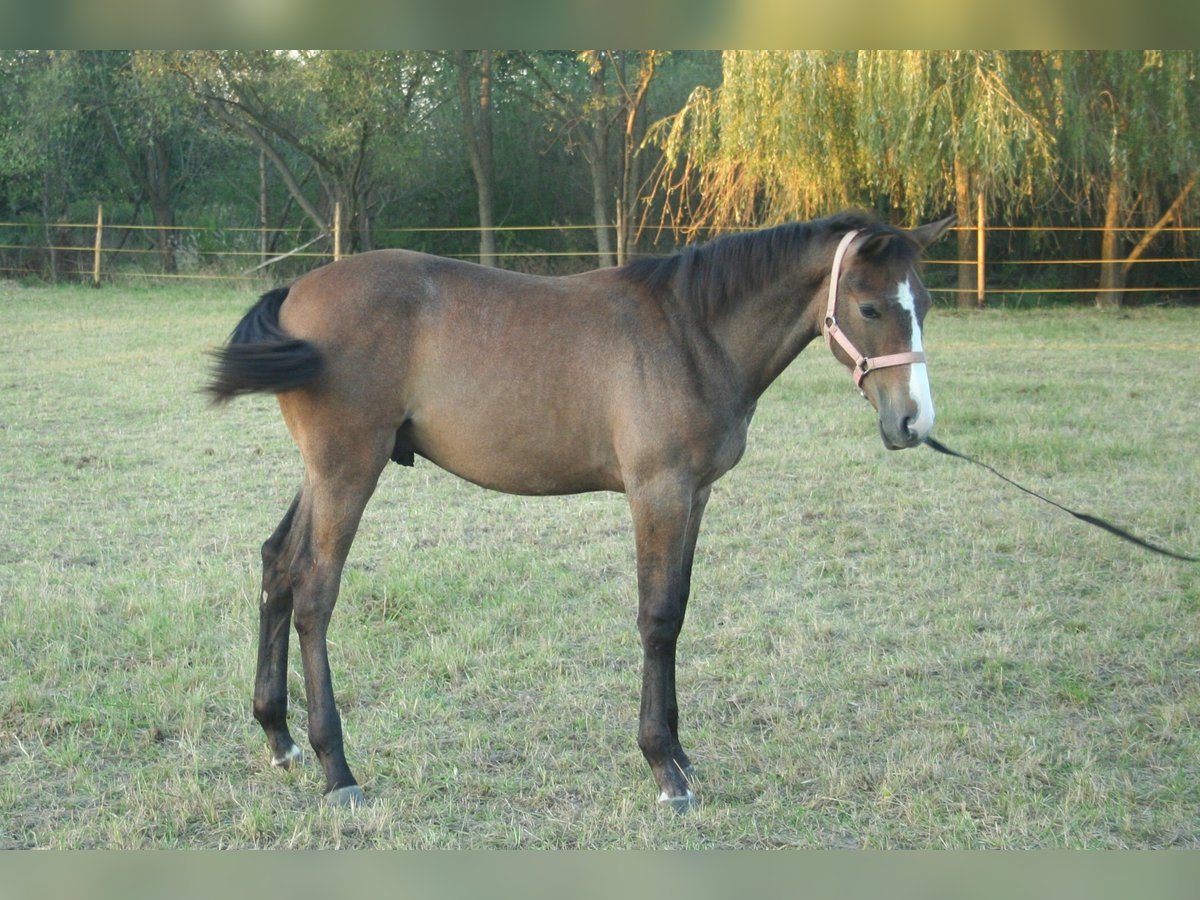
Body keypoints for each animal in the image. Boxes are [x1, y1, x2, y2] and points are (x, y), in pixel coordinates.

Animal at [206, 210, 955, 811]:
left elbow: (679, 610)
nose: (913, 423)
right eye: (869, 308)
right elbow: (658, 618)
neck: (689, 334)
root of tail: (296, 292)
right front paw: (664, 768)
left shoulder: (696, 493)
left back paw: (278, 737)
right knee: (314, 591)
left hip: (324, 472)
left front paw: (680, 753)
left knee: (277, 565)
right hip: (348, 469)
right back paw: (338, 770)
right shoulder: (658, 490)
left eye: (922, 302)